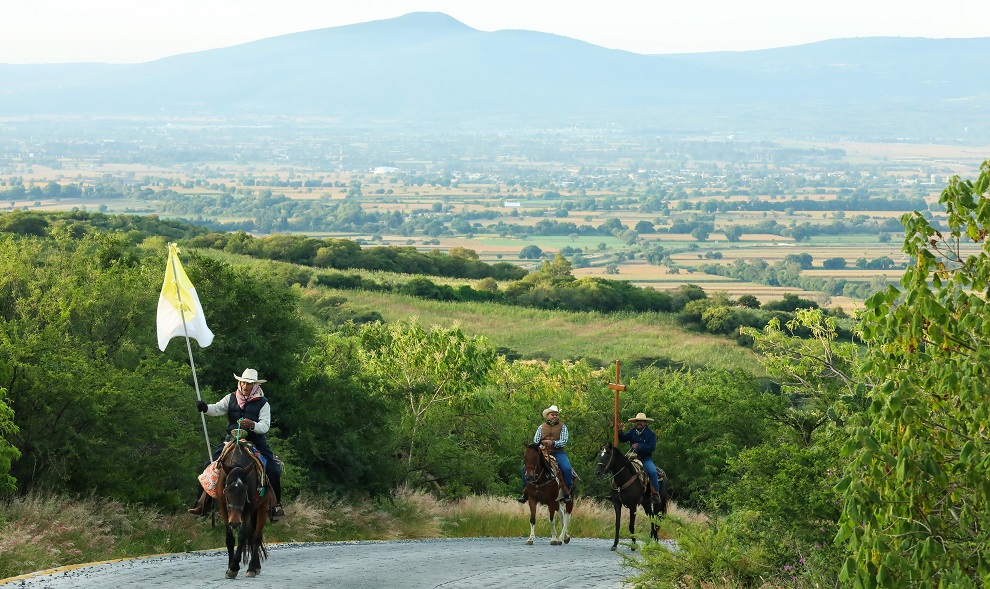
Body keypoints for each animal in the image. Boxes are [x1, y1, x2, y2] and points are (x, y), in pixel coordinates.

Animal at [217, 438, 276, 576]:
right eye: (227, 490)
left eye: (244, 491)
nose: (234, 523)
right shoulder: (223, 507)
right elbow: (230, 538)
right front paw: (229, 567)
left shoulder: (249, 509)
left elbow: (243, 535)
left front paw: (234, 567)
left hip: (262, 508)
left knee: (256, 536)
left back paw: (252, 568)